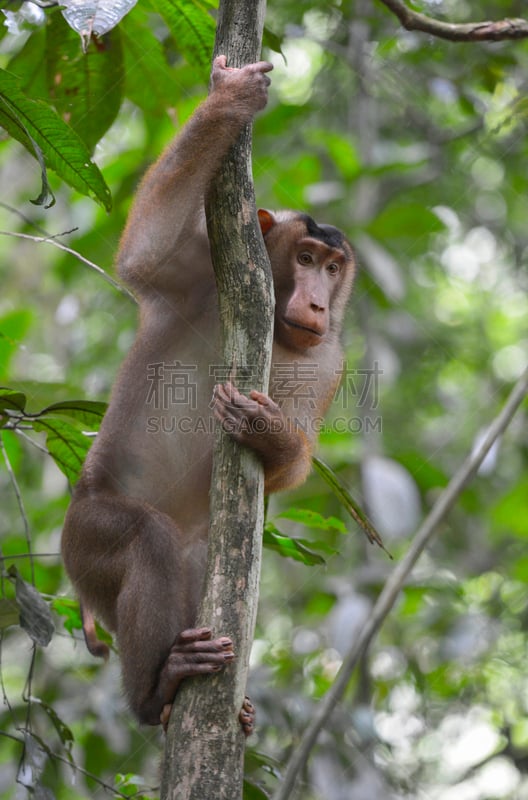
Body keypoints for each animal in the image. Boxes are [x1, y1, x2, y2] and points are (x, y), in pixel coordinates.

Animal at [62, 56, 356, 732]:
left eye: (333, 268)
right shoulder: (200, 269)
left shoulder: (329, 358)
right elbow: (145, 255)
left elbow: (291, 463)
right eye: (306, 257)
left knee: (199, 559)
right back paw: (156, 692)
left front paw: (265, 432)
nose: (318, 304)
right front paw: (228, 103)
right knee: (147, 540)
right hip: (82, 539)